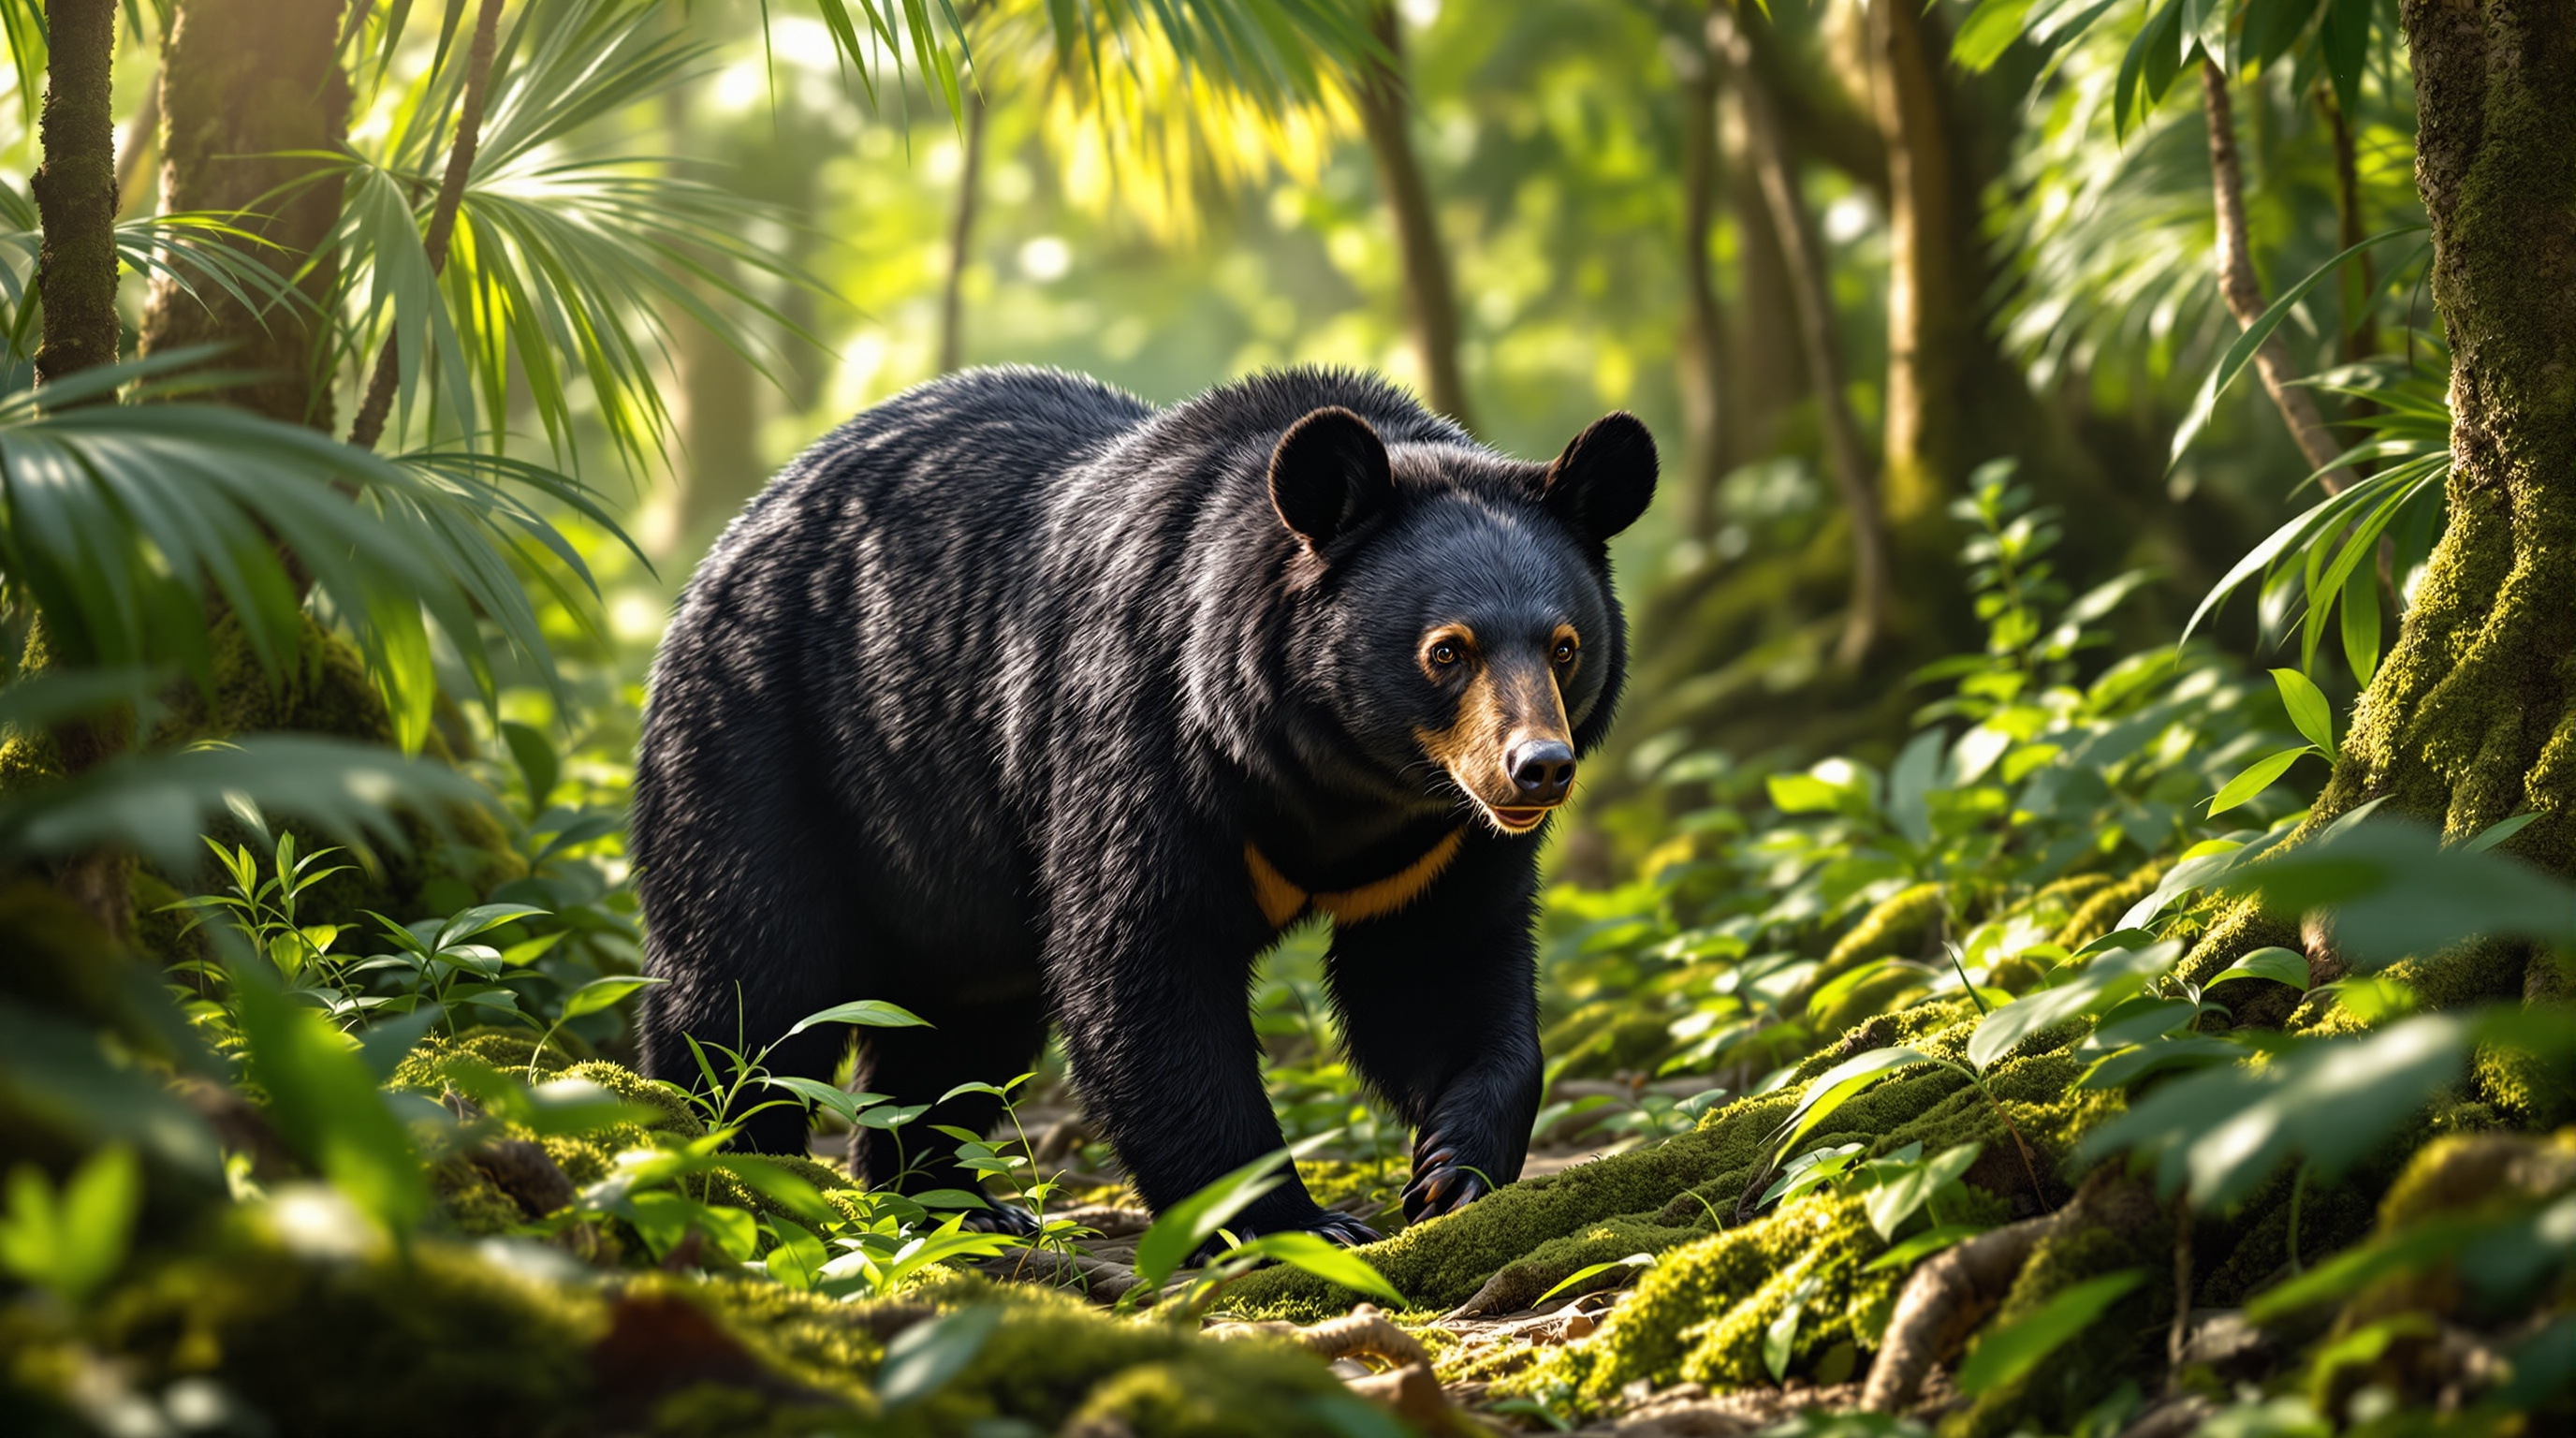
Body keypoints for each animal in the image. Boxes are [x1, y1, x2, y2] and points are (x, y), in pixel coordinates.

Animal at [631, 365, 1654, 1242]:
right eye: (1448, 650)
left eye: (1564, 646)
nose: (1538, 770)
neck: (1338, 780)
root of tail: (741, 529)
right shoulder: (1147, 735)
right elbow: (1148, 971)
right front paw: (1293, 1223)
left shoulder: (1438, 841)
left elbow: (1438, 972)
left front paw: (1451, 1170)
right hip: (765, 735)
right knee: (753, 982)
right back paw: (729, 1161)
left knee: (959, 1023)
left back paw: (956, 1201)